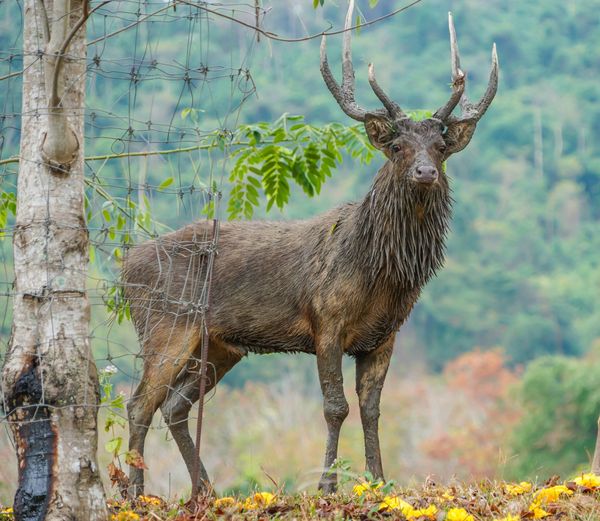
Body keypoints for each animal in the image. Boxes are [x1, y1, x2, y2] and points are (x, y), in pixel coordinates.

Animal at [122, 1, 496, 496]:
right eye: (397, 145)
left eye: (440, 147)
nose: (424, 172)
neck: (380, 275)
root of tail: (124, 266)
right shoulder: (326, 321)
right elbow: (335, 407)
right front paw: (327, 486)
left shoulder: (385, 335)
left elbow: (372, 409)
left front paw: (379, 482)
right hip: (166, 324)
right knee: (139, 403)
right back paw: (135, 493)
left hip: (219, 345)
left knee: (173, 405)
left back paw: (204, 491)